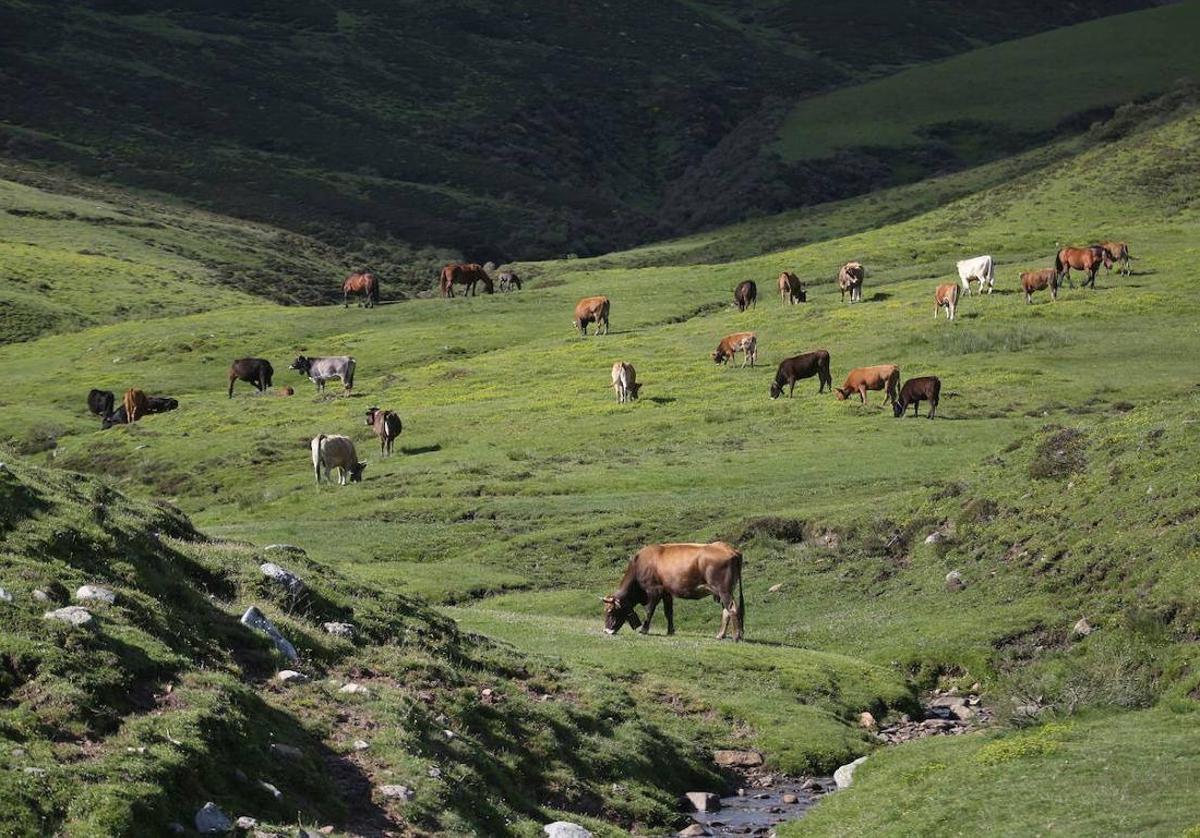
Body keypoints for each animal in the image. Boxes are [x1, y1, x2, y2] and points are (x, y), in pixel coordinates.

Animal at [604, 537, 744, 638]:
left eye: (610, 611)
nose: (605, 631)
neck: (639, 565)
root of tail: (730, 550)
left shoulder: (654, 590)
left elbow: (649, 610)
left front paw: (644, 629)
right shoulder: (667, 593)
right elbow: (669, 612)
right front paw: (670, 631)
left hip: (724, 590)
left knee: (732, 609)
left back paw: (736, 636)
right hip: (723, 591)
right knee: (726, 611)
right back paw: (721, 635)